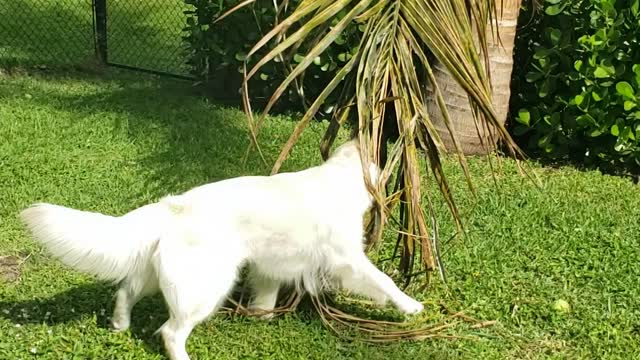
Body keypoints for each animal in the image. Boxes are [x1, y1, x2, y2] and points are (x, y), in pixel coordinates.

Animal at [20, 141, 422, 360]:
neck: (337, 178)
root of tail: (173, 206)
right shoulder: (347, 259)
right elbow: (384, 281)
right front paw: (411, 306)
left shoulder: (270, 264)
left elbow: (266, 294)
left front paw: (262, 316)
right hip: (207, 288)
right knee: (170, 331)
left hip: (162, 276)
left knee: (125, 291)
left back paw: (120, 326)